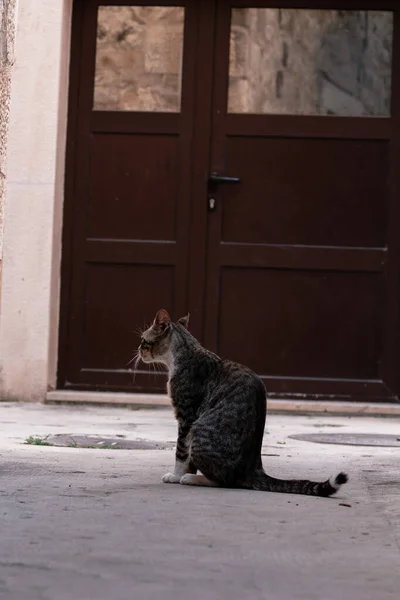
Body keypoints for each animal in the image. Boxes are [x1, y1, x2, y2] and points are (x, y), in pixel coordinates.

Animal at [137, 310, 346, 496]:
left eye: (143, 340)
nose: (138, 351)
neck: (183, 353)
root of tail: (254, 469)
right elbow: (188, 458)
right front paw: (185, 472)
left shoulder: (186, 417)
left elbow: (181, 451)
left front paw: (176, 475)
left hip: (199, 430)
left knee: (226, 481)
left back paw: (193, 479)